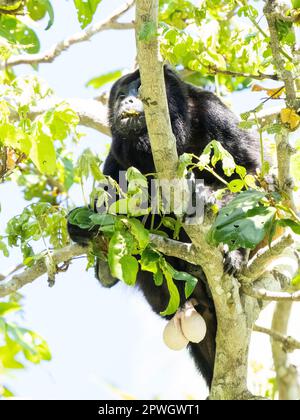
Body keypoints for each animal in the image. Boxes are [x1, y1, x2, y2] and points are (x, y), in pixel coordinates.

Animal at [68, 68, 260, 388]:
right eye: (121, 95)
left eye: (140, 87)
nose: (128, 100)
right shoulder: (117, 151)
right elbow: (113, 190)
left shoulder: (213, 111)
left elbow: (247, 171)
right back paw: (105, 268)